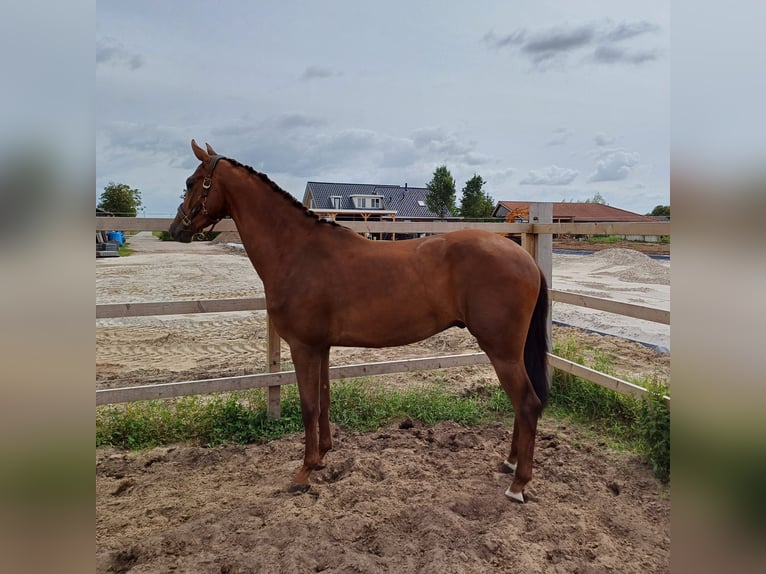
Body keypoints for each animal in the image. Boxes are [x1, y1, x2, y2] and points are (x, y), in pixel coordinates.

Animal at [170, 140, 548, 504]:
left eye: (191, 182)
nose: (176, 229)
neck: (297, 250)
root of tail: (524, 258)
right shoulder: (321, 347)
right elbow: (323, 400)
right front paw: (322, 457)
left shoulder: (303, 347)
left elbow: (308, 406)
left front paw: (304, 473)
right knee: (521, 405)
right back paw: (509, 462)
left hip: (501, 350)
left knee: (527, 403)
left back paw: (518, 484)